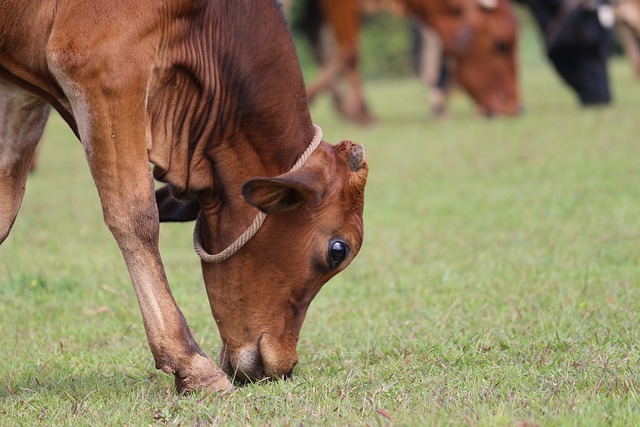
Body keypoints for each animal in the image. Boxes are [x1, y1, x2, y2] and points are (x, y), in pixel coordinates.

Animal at [0, 0, 368, 394]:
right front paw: (192, 364)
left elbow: (6, 209)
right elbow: (135, 215)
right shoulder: (101, 66)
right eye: (338, 251)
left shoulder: (21, 93)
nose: (286, 365)